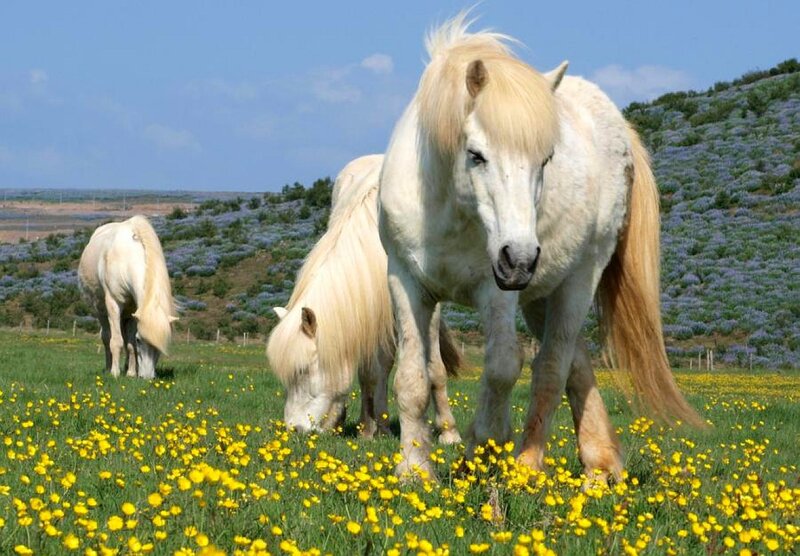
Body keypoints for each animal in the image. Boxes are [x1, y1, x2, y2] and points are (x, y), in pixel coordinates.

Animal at [78, 215, 178, 379]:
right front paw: (115, 372)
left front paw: (131, 373)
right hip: (101, 311)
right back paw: (109, 367)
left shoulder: (134, 311)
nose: (147, 377)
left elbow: (130, 344)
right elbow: (116, 341)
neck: (126, 258)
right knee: (106, 337)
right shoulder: (113, 304)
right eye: (140, 340)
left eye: (161, 344)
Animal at [267, 154, 462, 442]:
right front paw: (369, 429)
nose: (295, 429)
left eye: (303, 371)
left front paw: (449, 433)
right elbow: (370, 374)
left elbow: (434, 368)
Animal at [378, 14, 703, 482]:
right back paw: (601, 463)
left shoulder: (496, 290)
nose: (520, 259)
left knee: (552, 366)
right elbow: (411, 379)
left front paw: (483, 447)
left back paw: (529, 467)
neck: (447, 208)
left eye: (546, 159)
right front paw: (415, 470)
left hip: (576, 281)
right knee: (577, 365)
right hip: (539, 294)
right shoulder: (405, 281)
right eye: (476, 154)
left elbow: (502, 368)